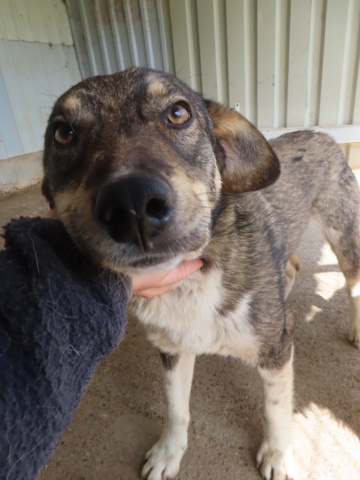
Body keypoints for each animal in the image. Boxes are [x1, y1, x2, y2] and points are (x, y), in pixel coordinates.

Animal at [41, 67, 360, 480]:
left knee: (353, 282)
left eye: (179, 113)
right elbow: (176, 410)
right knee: (291, 263)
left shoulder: (277, 353)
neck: (192, 279)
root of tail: (321, 134)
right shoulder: (172, 350)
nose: (132, 205)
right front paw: (169, 453)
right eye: (63, 133)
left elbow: (275, 409)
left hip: (343, 232)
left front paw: (277, 455)